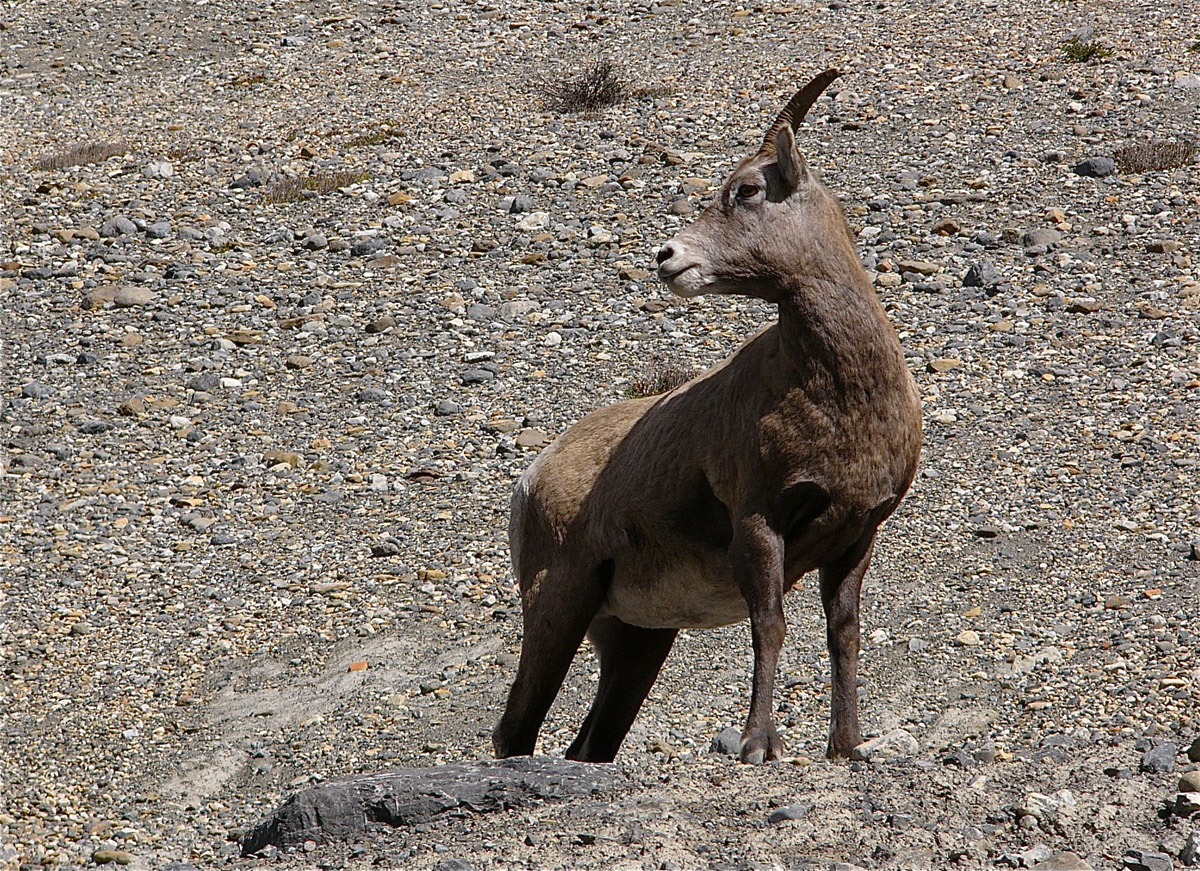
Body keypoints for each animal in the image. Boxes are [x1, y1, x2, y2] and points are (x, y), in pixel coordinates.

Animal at [492, 71, 921, 763]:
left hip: (637, 640)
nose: (668, 257)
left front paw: (847, 747)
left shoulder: (857, 536)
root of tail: (533, 478)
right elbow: (769, 625)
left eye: (747, 190)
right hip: (560, 601)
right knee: (516, 729)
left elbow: (843, 634)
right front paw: (757, 746)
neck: (841, 401)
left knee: (590, 744)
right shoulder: (759, 524)